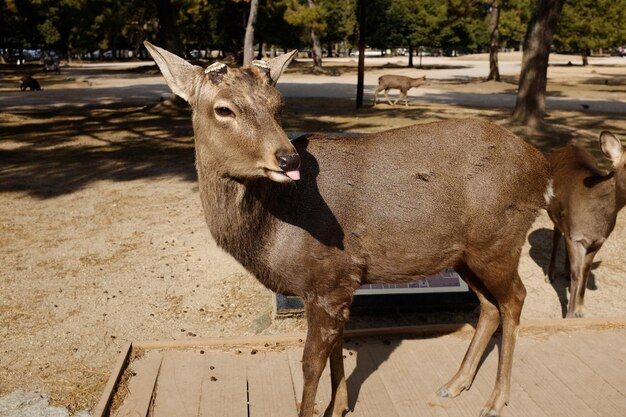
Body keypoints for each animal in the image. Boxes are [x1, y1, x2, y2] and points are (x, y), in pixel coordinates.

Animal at [144, 40, 548, 416]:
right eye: (223, 108)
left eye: (280, 105)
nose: (288, 158)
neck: (272, 233)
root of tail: (541, 168)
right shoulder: (338, 285)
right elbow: (337, 347)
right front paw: (338, 406)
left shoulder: (327, 277)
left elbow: (311, 364)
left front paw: (319, 407)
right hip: (466, 254)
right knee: (489, 306)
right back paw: (455, 383)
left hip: (499, 241)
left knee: (515, 298)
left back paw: (496, 399)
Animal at [544, 132, 620, 316]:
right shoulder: (576, 237)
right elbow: (576, 274)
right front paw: (570, 314)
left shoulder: (598, 240)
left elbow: (584, 272)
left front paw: (580, 309)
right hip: (554, 213)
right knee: (556, 238)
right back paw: (550, 275)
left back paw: (563, 271)